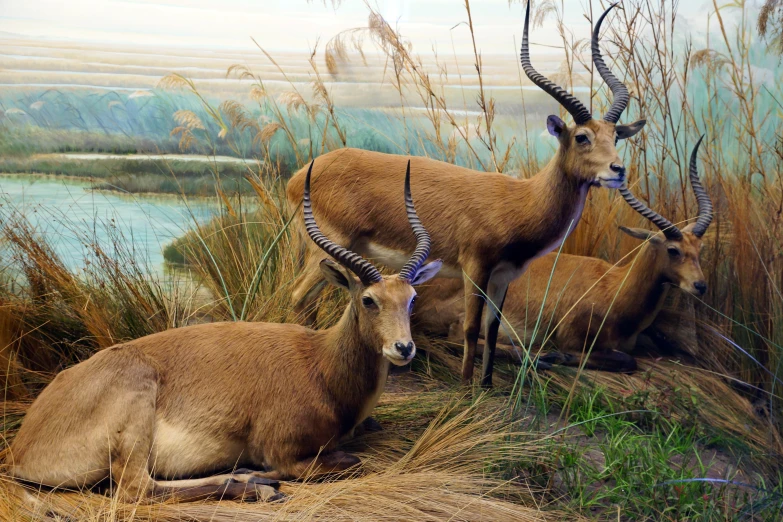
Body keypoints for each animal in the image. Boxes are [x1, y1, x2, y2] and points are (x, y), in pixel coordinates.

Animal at [7, 160, 440, 502]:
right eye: (368, 299)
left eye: (411, 297)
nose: (403, 348)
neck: (321, 364)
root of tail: (20, 448)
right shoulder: (284, 450)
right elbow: (349, 461)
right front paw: (262, 475)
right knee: (135, 489)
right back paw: (255, 486)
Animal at [284, 2, 648, 384]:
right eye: (582, 137)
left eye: (615, 135)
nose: (617, 170)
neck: (520, 200)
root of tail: (298, 177)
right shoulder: (475, 268)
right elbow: (472, 328)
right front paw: (466, 387)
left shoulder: (504, 276)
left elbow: (493, 328)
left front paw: (486, 385)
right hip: (327, 247)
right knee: (298, 294)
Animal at [414, 138, 712, 372]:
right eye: (673, 249)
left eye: (700, 249)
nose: (700, 285)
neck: (615, 288)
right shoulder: (572, 337)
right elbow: (626, 360)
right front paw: (558, 356)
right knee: (458, 338)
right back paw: (538, 358)